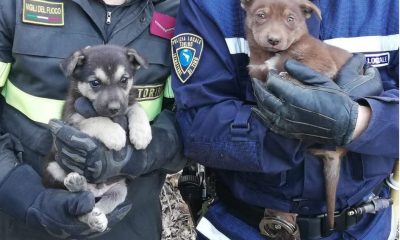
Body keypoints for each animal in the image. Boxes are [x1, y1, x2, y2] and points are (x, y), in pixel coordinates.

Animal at [43, 45, 151, 232]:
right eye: (95, 83)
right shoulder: (73, 120)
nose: (115, 108)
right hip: (53, 168)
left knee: (96, 204)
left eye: (124, 80)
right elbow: (96, 119)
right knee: (80, 204)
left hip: (119, 190)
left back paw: (96, 216)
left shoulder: (128, 102)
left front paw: (142, 133)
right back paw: (78, 188)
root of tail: (96, 191)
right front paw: (115, 134)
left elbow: (136, 107)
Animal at [241, 0, 350, 232]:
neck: (268, 56)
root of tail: (335, 155)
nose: (274, 40)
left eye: (290, 19)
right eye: (261, 15)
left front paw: (287, 79)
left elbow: (293, 74)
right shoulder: (256, 72)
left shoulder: (321, 63)